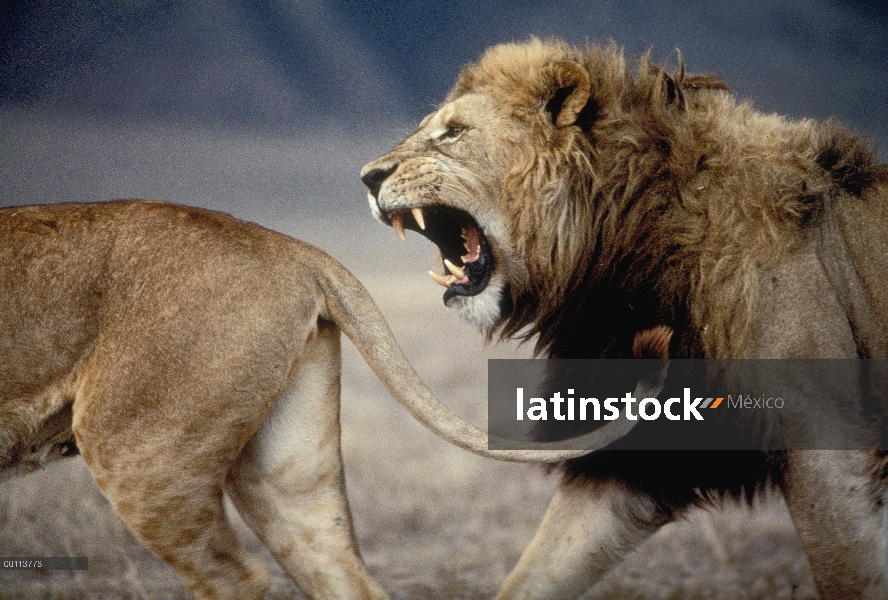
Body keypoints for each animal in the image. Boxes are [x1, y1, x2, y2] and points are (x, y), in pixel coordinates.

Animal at [360, 39, 888, 596]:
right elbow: (536, 573)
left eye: (454, 131)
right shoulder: (630, 454)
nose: (367, 177)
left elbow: (849, 575)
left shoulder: (825, 447)